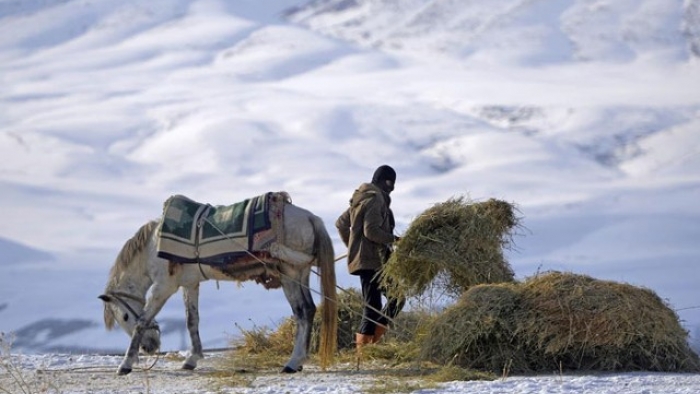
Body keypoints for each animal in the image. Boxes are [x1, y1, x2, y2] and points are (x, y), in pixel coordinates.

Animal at [99, 200, 340, 376]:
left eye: (124, 317)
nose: (149, 347)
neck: (154, 246)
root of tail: (309, 217)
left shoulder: (164, 287)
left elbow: (142, 321)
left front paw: (126, 364)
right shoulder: (190, 284)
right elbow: (192, 320)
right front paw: (192, 359)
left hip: (290, 274)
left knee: (301, 312)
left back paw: (292, 362)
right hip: (301, 274)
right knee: (309, 310)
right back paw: (298, 361)